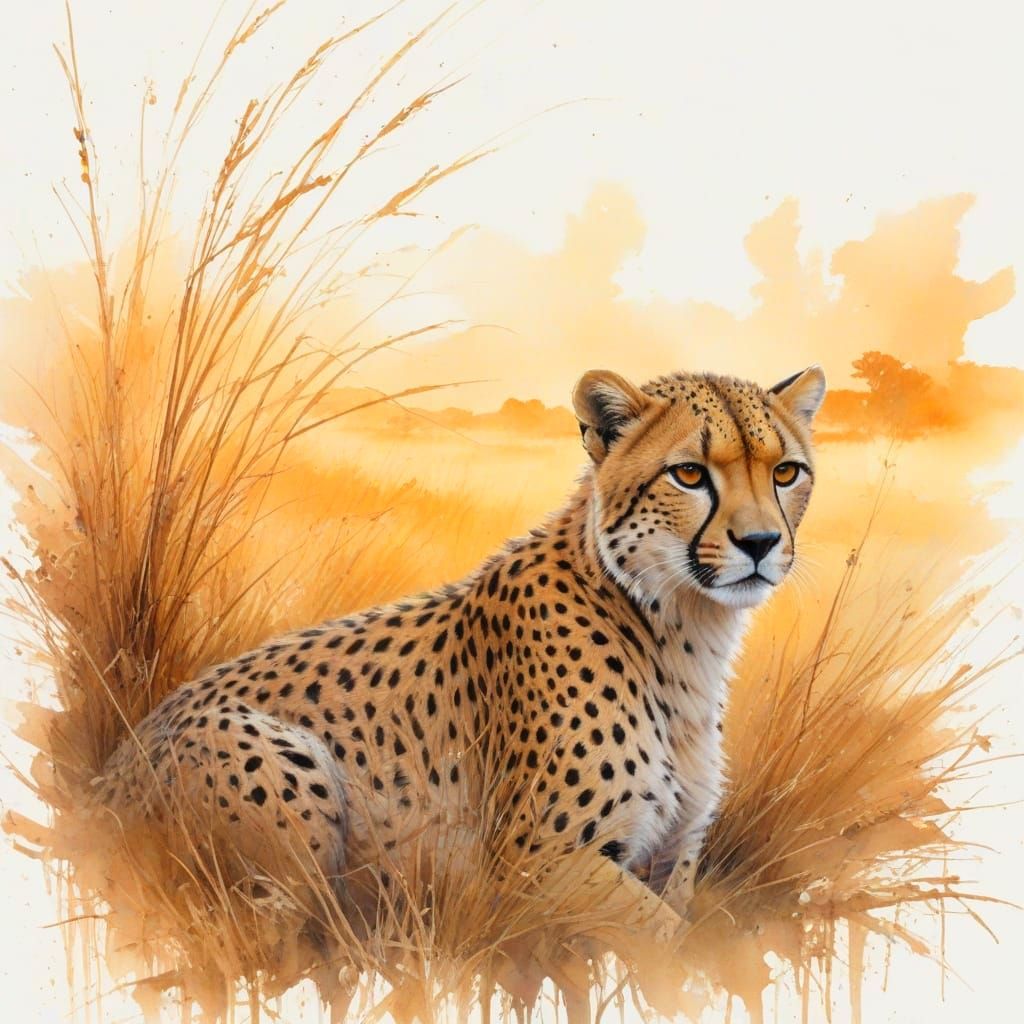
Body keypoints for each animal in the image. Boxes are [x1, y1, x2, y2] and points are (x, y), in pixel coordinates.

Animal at [99, 363, 826, 917]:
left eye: (786, 473)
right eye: (690, 474)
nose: (760, 543)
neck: (678, 629)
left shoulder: (669, 859)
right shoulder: (540, 863)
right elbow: (663, 944)